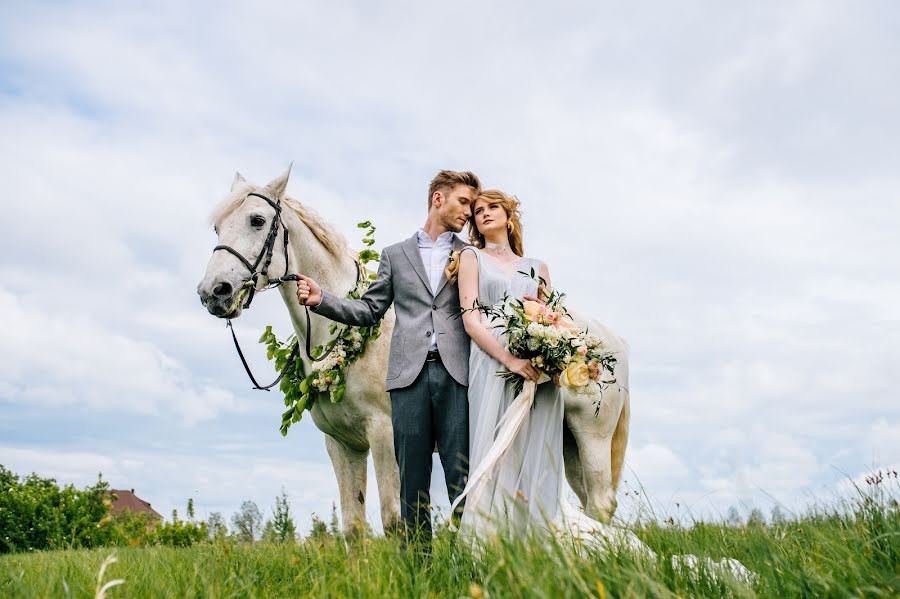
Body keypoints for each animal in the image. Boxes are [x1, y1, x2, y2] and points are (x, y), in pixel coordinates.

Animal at [197, 168, 632, 536]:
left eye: (256, 220)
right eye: (217, 226)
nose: (213, 292)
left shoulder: (384, 434)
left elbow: (394, 518)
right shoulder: (341, 444)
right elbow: (353, 527)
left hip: (591, 438)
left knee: (600, 504)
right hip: (568, 445)